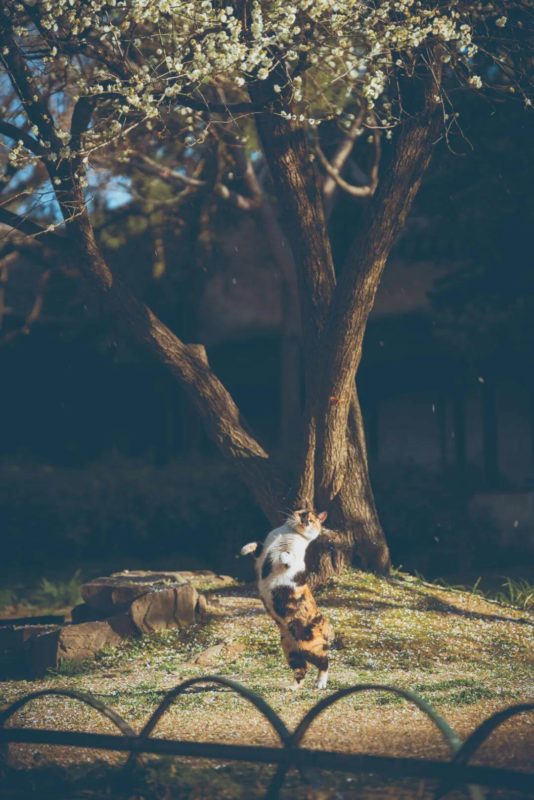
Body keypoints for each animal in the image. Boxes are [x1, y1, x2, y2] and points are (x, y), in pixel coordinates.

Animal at [240, 510, 332, 692]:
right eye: (303, 513)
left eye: (312, 520)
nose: (305, 521)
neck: (288, 534)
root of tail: (323, 621)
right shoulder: (263, 550)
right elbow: (256, 544)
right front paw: (244, 549)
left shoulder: (297, 565)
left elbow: (287, 556)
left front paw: (283, 555)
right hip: (290, 651)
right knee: (302, 669)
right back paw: (293, 687)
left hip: (310, 647)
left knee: (324, 662)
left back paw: (320, 683)